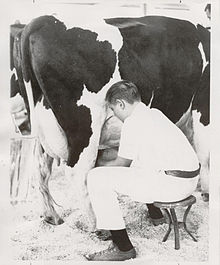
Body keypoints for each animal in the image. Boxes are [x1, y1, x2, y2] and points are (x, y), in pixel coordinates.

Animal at [9, 14, 210, 225]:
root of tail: (44, 21)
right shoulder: (203, 106)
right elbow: (205, 154)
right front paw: (207, 192)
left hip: (43, 128)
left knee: (40, 168)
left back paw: (51, 215)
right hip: (84, 126)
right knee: (78, 172)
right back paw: (98, 224)